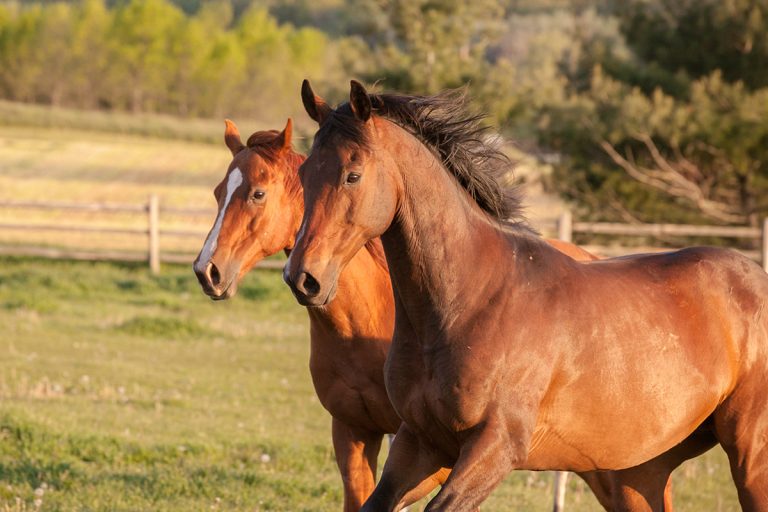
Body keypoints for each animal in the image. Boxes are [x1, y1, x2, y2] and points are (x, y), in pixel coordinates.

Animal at [192, 119, 685, 510]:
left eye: (257, 193)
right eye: (218, 192)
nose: (207, 271)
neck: (364, 322)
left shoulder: (434, 447)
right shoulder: (353, 431)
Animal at [285, 80, 767, 511]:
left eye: (352, 175)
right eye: (304, 173)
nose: (302, 278)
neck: (469, 302)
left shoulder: (495, 447)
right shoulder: (419, 443)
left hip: (749, 457)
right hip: (640, 473)